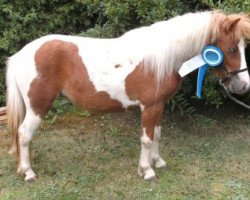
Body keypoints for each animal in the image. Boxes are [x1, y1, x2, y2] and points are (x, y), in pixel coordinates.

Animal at [5, 11, 250, 183]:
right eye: (231, 49)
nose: (243, 86)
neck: (161, 59)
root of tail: (21, 55)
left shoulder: (159, 106)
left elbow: (157, 135)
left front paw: (157, 161)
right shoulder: (150, 107)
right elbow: (147, 138)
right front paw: (147, 170)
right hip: (38, 107)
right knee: (24, 134)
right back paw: (28, 172)